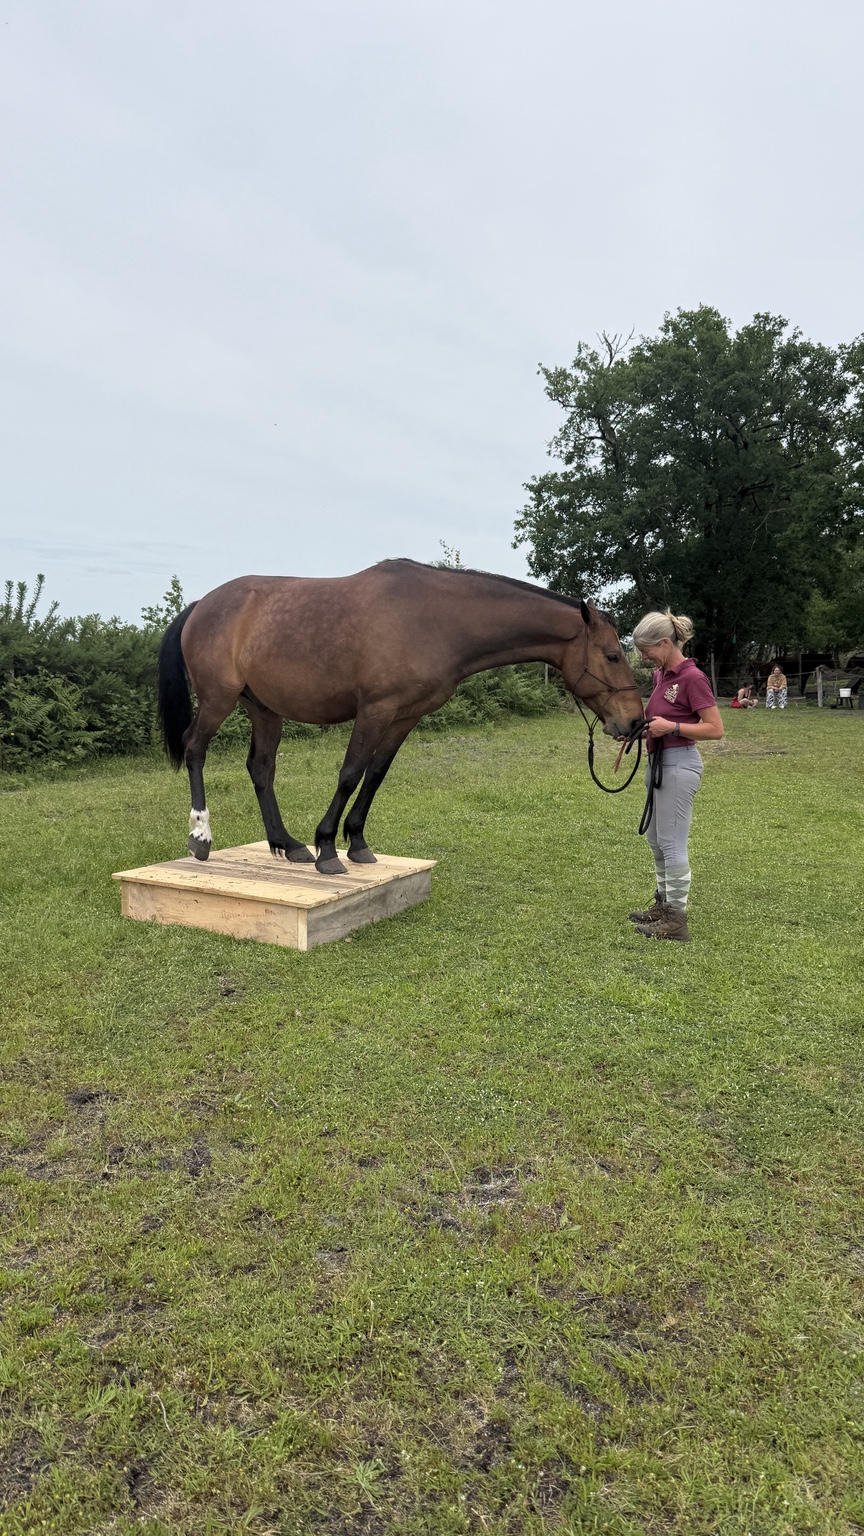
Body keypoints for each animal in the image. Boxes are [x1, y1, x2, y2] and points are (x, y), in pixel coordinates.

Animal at [157, 560, 643, 875]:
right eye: (612, 654)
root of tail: (202, 604)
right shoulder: (375, 709)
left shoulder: (405, 717)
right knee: (195, 749)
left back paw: (288, 845)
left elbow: (375, 775)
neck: (435, 619)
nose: (635, 723)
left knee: (261, 768)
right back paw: (200, 838)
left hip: (264, 708)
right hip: (217, 700)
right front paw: (328, 848)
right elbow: (350, 773)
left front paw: (356, 843)